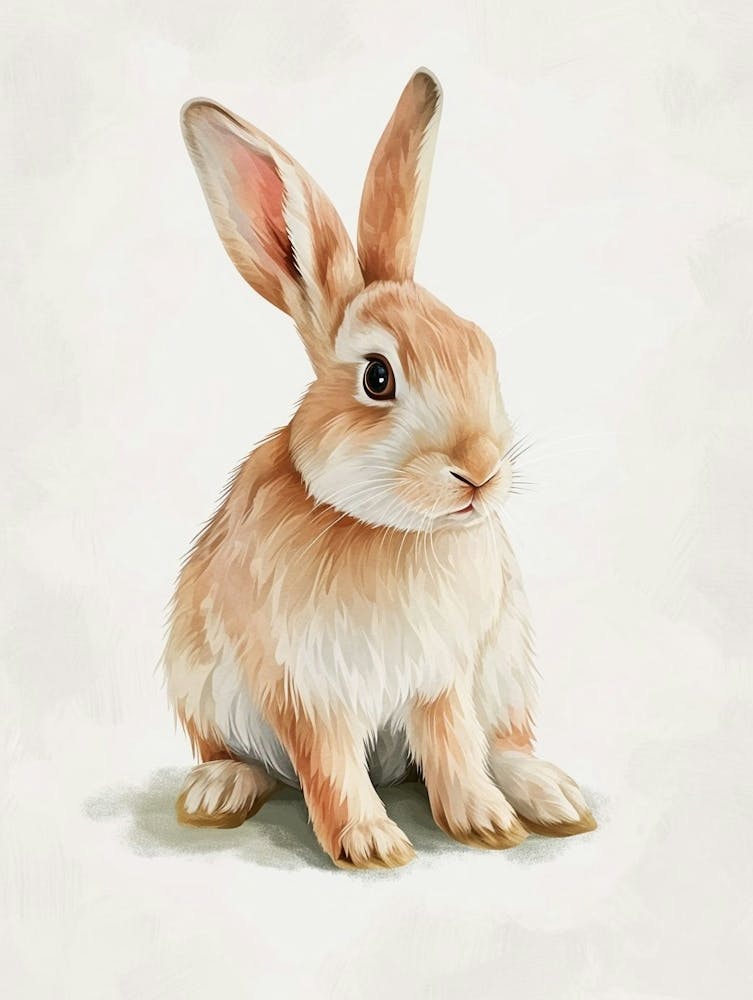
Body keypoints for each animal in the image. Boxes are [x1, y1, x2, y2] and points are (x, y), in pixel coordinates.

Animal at [164, 68, 596, 869]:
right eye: (377, 378)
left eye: (480, 348)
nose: (479, 471)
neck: (392, 531)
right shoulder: (304, 688)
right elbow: (329, 762)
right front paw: (368, 843)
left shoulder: (443, 678)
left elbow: (453, 747)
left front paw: (485, 822)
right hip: (200, 685)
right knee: (239, 754)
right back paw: (217, 791)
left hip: (505, 669)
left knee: (501, 743)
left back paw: (551, 796)